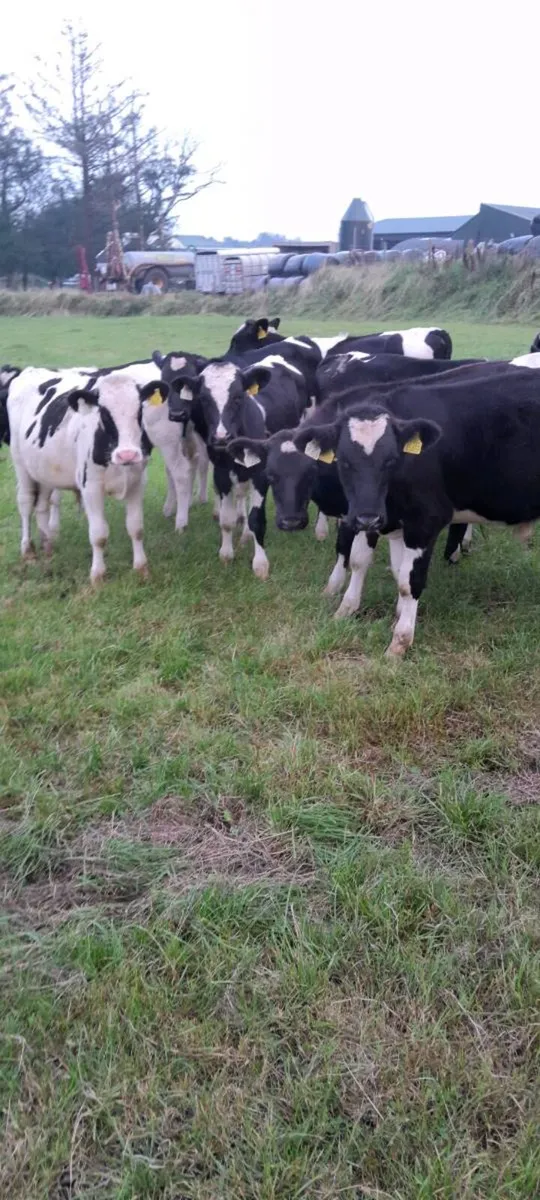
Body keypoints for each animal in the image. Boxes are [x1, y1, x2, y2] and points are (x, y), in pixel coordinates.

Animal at [8, 368, 166, 582]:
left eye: (139, 410)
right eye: (104, 413)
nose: (127, 454)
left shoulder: (137, 482)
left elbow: (136, 527)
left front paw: (141, 568)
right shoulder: (90, 487)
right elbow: (98, 534)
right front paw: (98, 576)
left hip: (44, 471)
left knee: (41, 505)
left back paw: (47, 545)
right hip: (21, 465)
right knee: (25, 503)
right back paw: (28, 551)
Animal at [168, 358, 309, 578]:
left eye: (238, 397)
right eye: (204, 399)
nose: (221, 437)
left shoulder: (261, 474)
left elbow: (257, 519)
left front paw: (260, 564)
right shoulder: (221, 474)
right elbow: (226, 519)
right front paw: (226, 554)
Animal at [288, 368, 540, 656]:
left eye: (390, 460)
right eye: (345, 462)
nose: (290, 520)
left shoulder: (425, 521)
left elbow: (409, 583)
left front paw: (399, 642)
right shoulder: (383, 518)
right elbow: (366, 562)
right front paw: (348, 610)